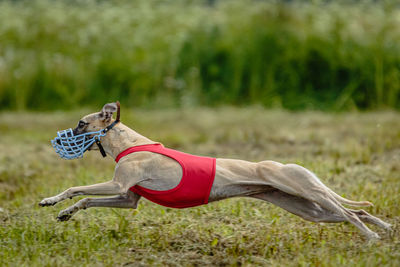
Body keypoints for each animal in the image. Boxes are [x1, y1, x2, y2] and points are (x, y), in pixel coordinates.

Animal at [39, 102, 390, 241]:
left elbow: (75, 189)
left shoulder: (117, 185)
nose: (56, 140)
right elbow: (86, 200)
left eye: (81, 123)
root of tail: (290, 165)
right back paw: (384, 229)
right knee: (353, 213)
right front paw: (64, 213)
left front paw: (50, 200)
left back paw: (372, 236)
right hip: (308, 209)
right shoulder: (128, 199)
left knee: (351, 213)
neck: (130, 144)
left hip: (307, 191)